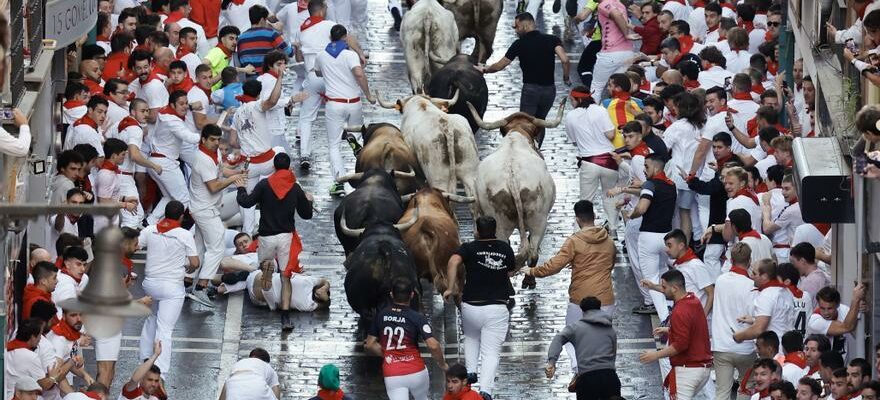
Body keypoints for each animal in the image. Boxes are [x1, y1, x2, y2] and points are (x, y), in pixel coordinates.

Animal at [468, 100, 564, 288]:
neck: (516, 138)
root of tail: (512, 177)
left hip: (506, 222)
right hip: (538, 219)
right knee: (531, 251)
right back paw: (528, 280)